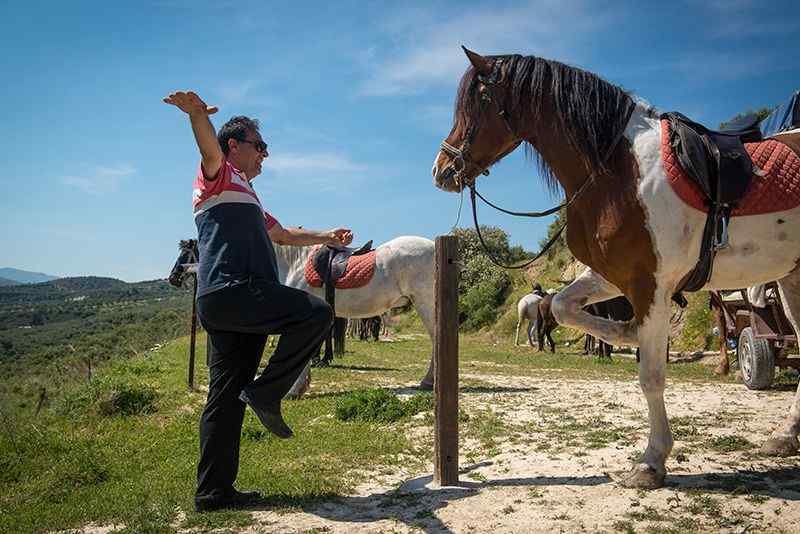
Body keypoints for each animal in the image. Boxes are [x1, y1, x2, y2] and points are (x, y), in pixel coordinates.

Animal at [438, 49, 800, 490]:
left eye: (477, 103)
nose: (441, 170)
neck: (617, 171)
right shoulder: (613, 275)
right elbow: (561, 307)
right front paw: (624, 333)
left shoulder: (649, 284)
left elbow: (651, 377)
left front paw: (651, 462)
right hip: (792, 278)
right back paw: (785, 436)